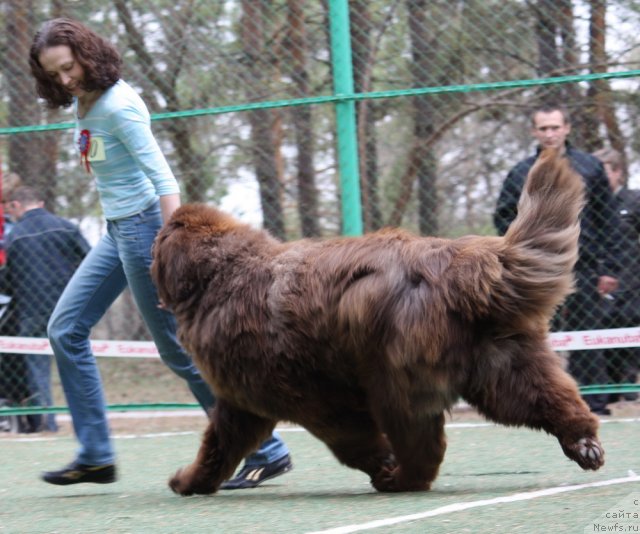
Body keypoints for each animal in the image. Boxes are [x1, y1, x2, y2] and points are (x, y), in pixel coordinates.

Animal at [152, 148, 604, 498]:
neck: (221, 277)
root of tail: (457, 264)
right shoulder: (242, 402)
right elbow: (217, 446)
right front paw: (190, 480)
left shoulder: (305, 397)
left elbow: (350, 441)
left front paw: (380, 462)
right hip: (502, 363)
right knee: (546, 399)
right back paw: (583, 443)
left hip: (395, 380)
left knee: (422, 446)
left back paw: (399, 479)